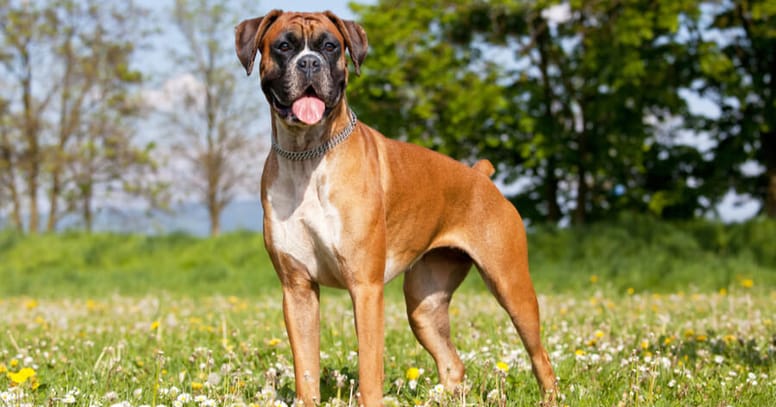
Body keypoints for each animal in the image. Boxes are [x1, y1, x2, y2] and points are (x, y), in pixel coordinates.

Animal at [233, 10, 556, 407]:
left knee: (540, 356)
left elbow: (370, 368)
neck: (306, 155)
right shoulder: (297, 291)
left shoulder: (366, 288)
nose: (309, 63)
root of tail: (480, 176)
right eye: (283, 46)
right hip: (423, 306)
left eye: (330, 46)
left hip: (511, 287)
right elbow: (305, 369)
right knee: (452, 363)